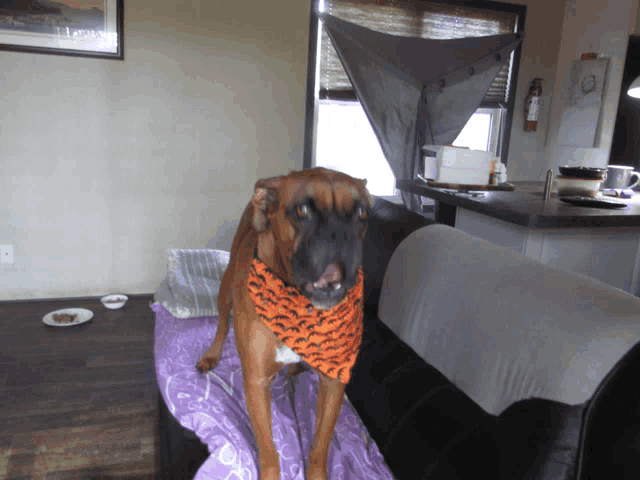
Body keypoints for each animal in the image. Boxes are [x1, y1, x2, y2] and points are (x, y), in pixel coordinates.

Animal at [198, 168, 372, 480]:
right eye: (302, 210)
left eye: (362, 213)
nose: (338, 233)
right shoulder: (256, 384)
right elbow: (269, 450)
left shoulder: (333, 386)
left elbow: (320, 446)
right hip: (226, 288)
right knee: (221, 325)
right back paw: (211, 355)